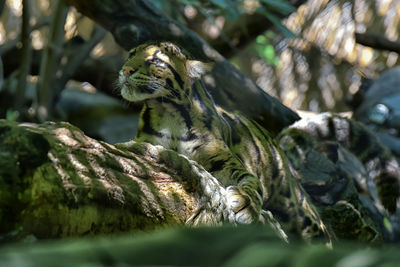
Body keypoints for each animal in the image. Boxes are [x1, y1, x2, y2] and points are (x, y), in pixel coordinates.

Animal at [118, 41, 328, 241]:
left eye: (155, 61)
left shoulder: (224, 161)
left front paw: (246, 203)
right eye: (130, 55)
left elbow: (252, 182)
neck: (167, 113)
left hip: (302, 213)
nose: (125, 70)